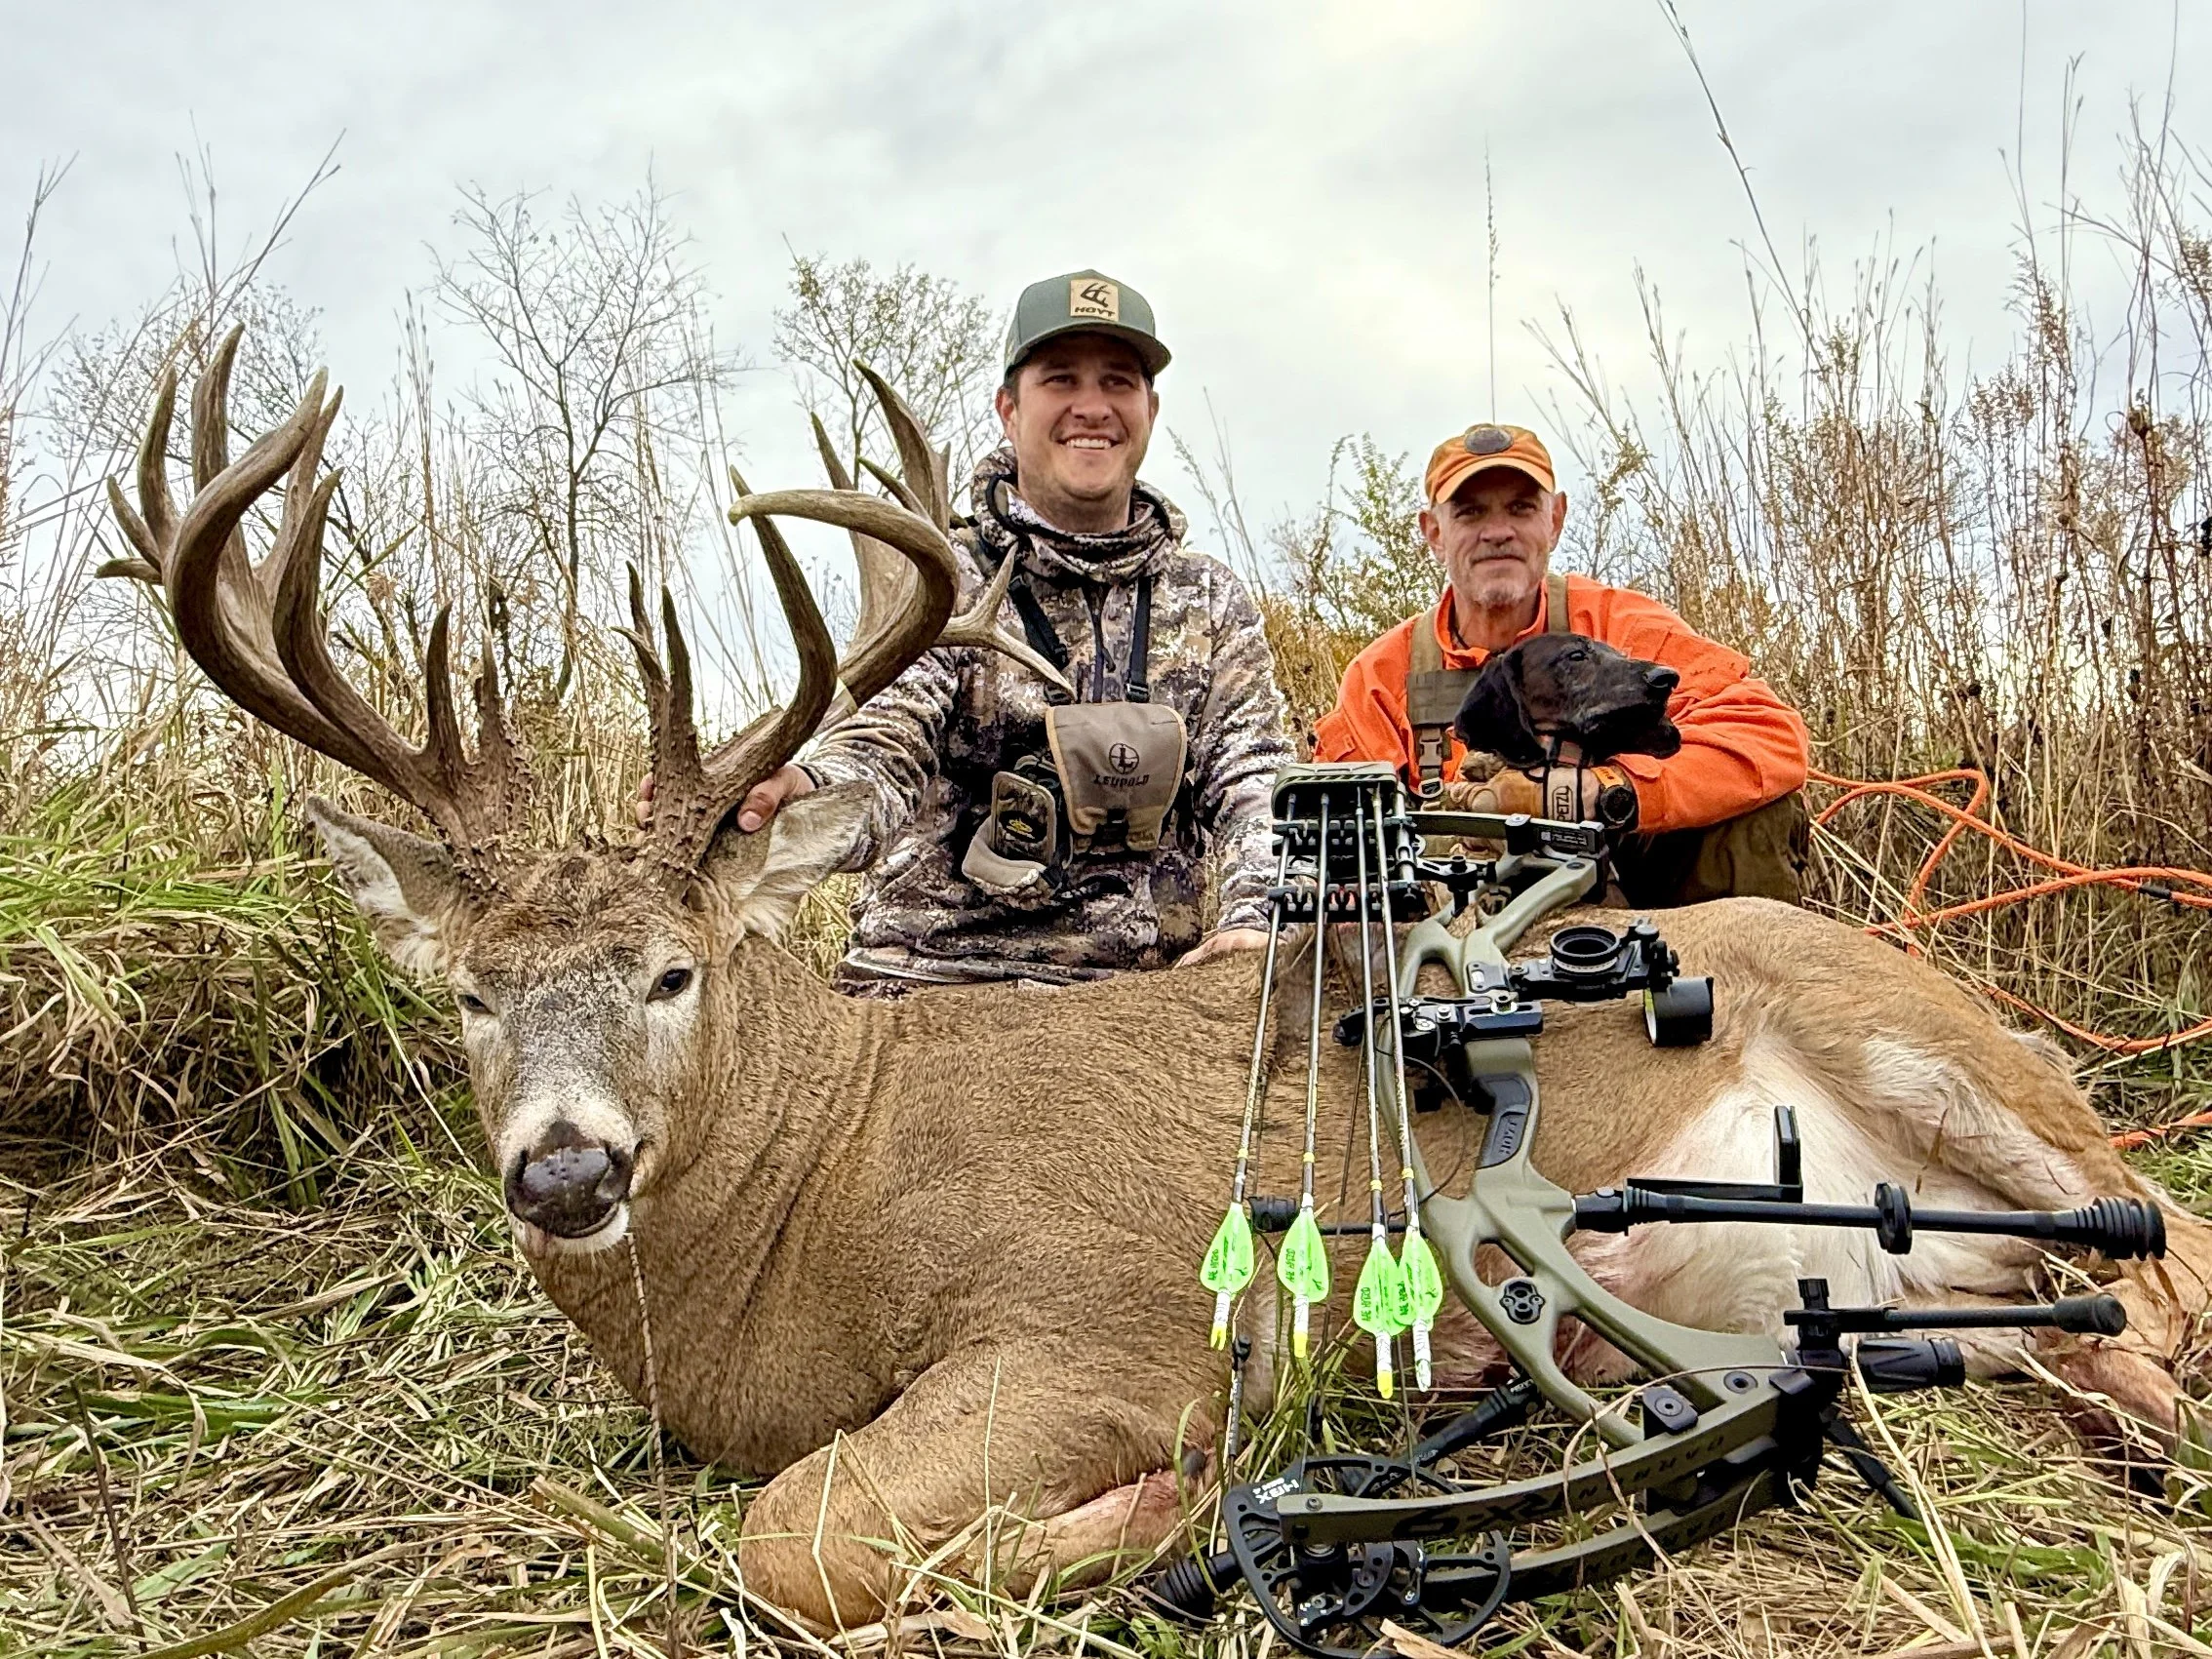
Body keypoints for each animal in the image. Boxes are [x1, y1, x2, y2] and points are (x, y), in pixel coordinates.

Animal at [109, 334, 2210, 1629]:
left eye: (674, 969)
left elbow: (801, 1537)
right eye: (469, 992)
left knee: (2162, 1251)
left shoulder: (1097, 1321)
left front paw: (1172, 1507)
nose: (563, 1169)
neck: (808, 1217)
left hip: (1938, 1042)